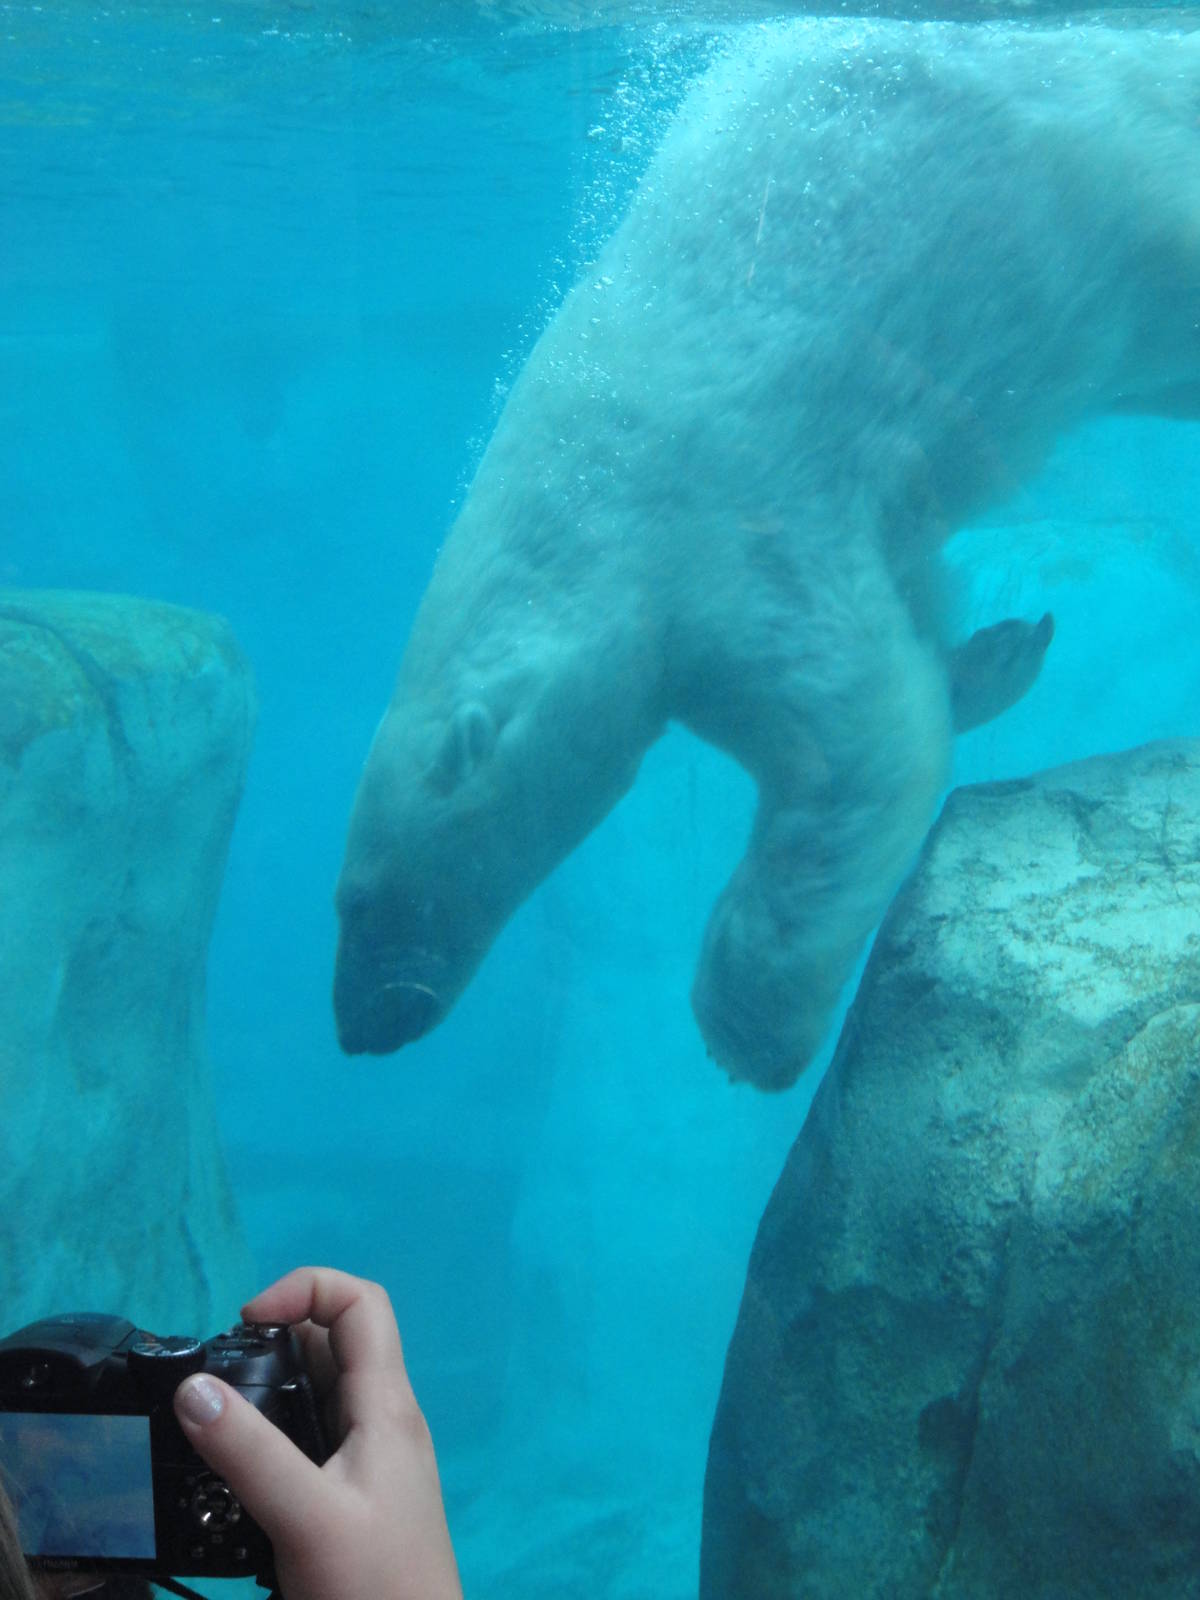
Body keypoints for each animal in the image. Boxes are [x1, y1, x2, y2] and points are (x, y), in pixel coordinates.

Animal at [333, 18, 1200, 1091]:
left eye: (366, 896)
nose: (358, 1029)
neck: (587, 501)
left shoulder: (732, 530)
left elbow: (862, 747)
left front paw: (749, 1031)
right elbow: (914, 621)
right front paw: (998, 653)